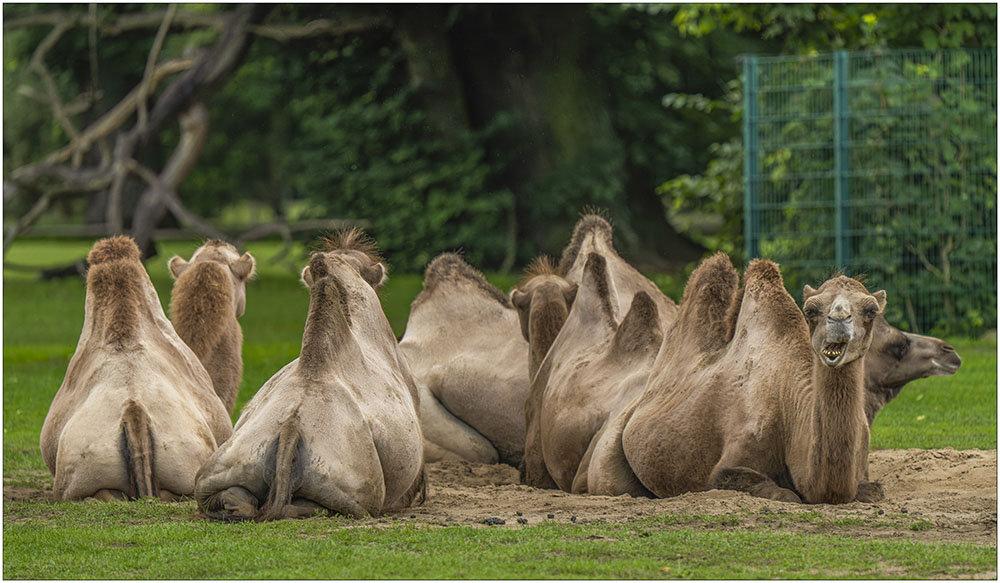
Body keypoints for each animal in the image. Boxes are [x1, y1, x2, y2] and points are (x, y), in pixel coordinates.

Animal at [588, 255, 886, 504]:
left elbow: (873, 491)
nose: (839, 319)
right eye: (811, 310)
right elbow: (781, 494)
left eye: (871, 310)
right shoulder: (728, 465)